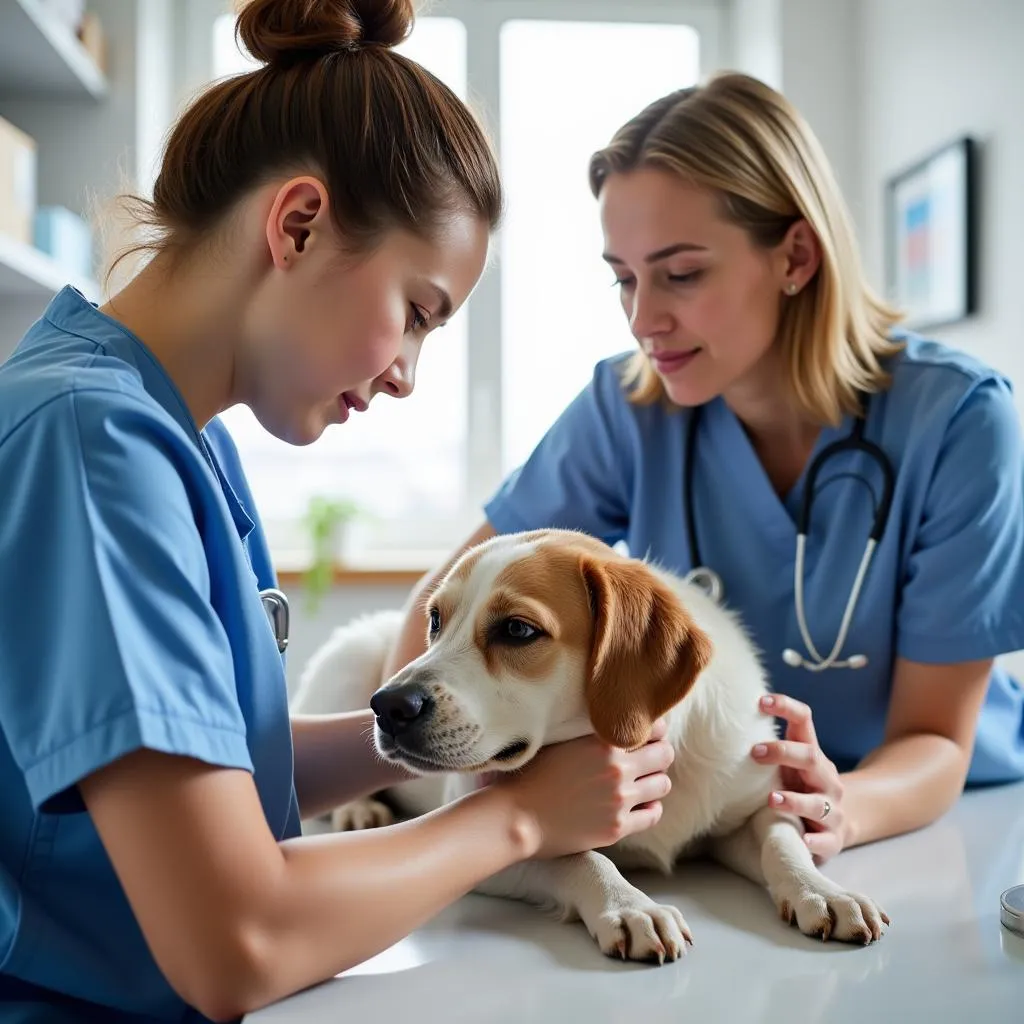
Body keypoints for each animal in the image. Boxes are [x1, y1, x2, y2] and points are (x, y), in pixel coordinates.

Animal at [290, 528, 888, 958]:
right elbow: (582, 857)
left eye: (517, 630)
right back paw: (360, 809)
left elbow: (783, 843)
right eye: (436, 620)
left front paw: (825, 893)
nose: (389, 706)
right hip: (349, 665)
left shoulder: (750, 809)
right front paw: (629, 904)